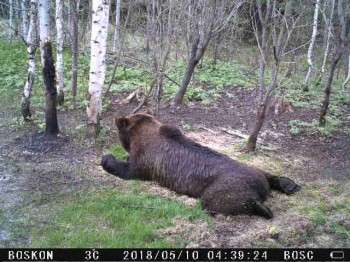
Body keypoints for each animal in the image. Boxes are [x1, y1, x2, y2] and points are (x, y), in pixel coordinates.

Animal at [101, 111, 300, 218]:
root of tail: (262, 187)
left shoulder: (145, 163)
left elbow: (129, 169)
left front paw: (107, 158)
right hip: (253, 170)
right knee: (267, 173)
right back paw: (290, 185)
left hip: (226, 186)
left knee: (215, 201)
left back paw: (264, 209)